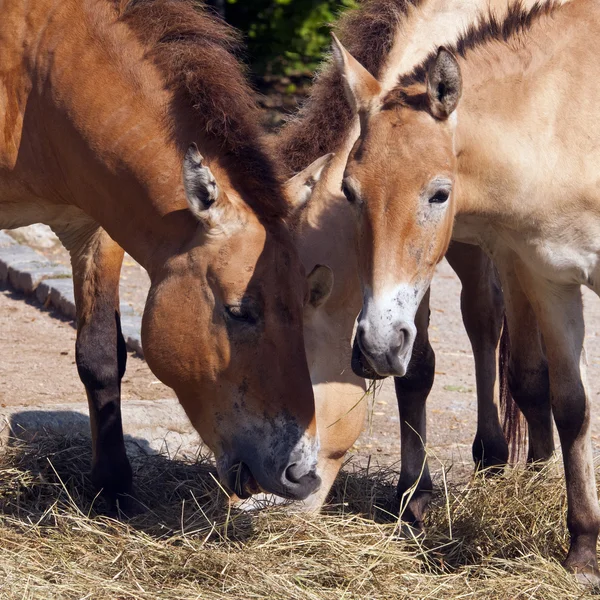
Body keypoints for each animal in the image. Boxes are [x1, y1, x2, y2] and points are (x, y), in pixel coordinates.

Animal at [0, 0, 332, 506]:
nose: (302, 473)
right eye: (238, 311)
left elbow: (100, 355)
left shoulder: (97, 225)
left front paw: (113, 487)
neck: (34, 69)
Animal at [276, 0, 548, 516]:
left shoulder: (514, 246)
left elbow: (530, 369)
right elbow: (416, 366)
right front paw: (415, 490)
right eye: (349, 192)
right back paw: (490, 456)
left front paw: (540, 479)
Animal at [332, 0, 600, 580]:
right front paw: (583, 553)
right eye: (349, 191)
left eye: (439, 193)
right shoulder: (550, 278)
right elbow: (571, 405)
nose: (378, 346)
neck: (569, 118)